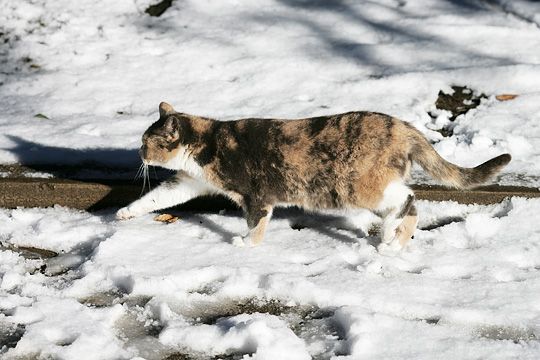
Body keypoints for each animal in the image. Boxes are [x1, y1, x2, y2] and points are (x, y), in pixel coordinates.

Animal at [117, 102, 510, 249]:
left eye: (146, 142)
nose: (138, 153)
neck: (208, 142)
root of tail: (402, 126)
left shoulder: (257, 195)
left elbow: (255, 223)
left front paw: (246, 244)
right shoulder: (187, 181)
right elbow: (157, 197)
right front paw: (124, 213)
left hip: (360, 186)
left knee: (408, 198)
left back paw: (388, 236)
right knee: (409, 207)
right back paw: (392, 241)